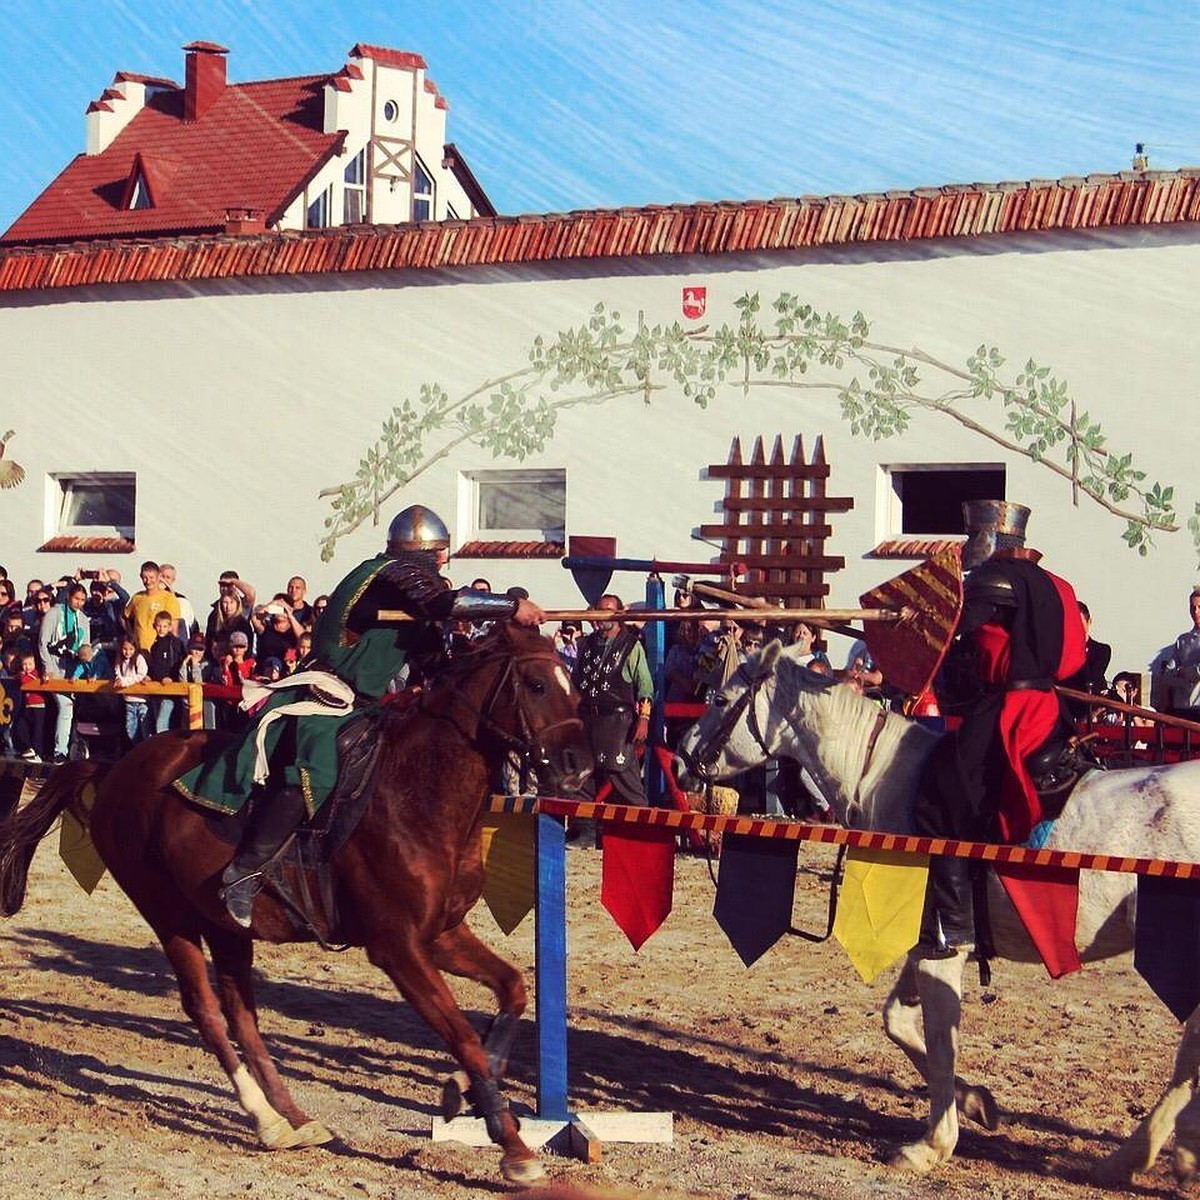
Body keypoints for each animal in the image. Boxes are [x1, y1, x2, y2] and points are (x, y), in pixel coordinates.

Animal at [0, 624, 585, 1185]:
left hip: (224, 925)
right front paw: (513, 1149)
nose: (576, 770)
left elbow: (512, 990)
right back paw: (266, 1120)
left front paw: (469, 1090)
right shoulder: (398, 949)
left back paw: (294, 1119)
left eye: (573, 685)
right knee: (206, 1010)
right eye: (536, 685)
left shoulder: (440, 935)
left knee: (242, 1015)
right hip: (169, 915)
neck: (417, 792)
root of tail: (115, 767)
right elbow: (462, 1034)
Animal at [681, 643, 1200, 1185]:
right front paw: (977, 1103)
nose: (681, 755)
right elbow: (899, 1023)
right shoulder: (929, 945)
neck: (884, 779)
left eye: (720, 698)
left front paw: (932, 1144)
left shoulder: (941, 948)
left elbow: (940, 1040)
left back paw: (1136, 1156)